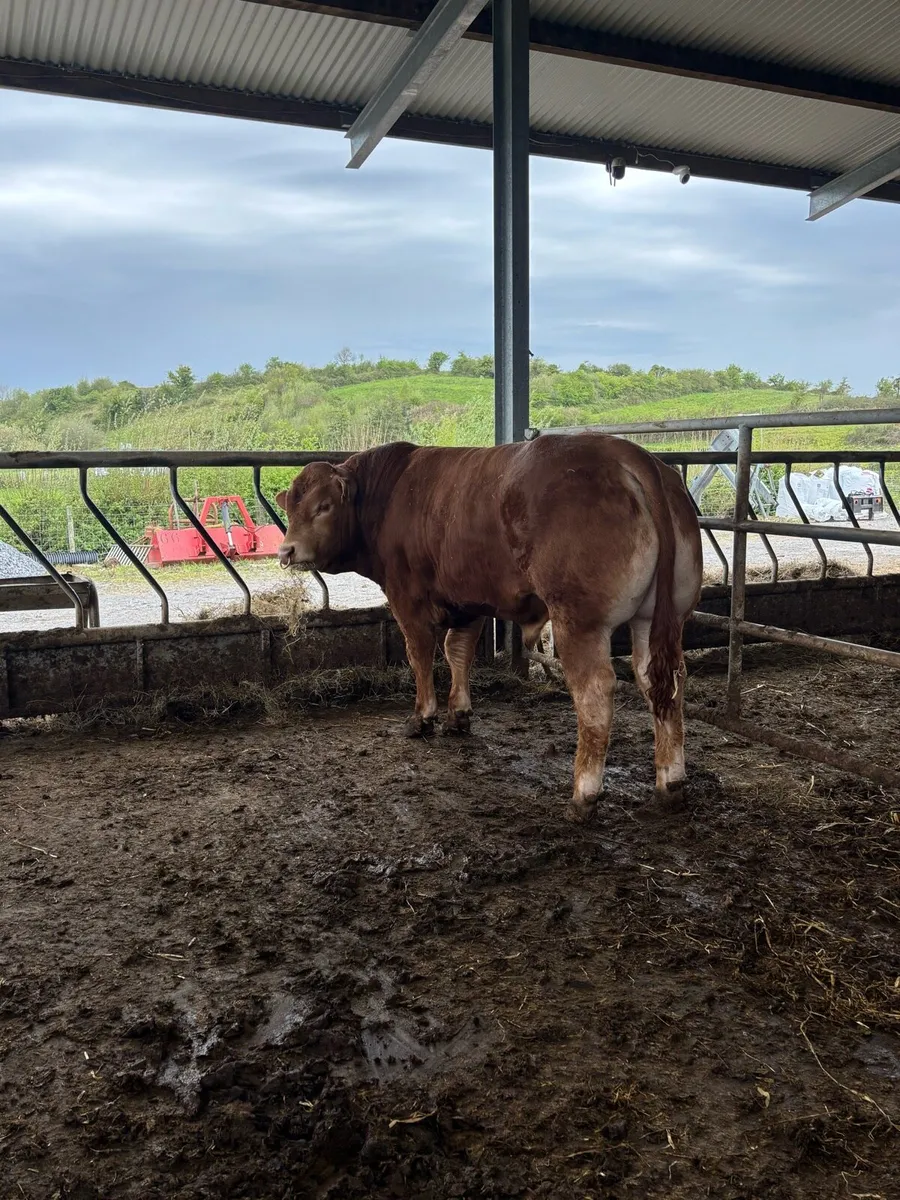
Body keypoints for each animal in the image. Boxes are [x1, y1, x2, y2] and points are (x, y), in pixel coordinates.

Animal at [276, 435, 702, 822]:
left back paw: (584, 795)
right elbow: (458, 651)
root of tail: (628, 454)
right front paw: (458, 714)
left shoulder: (407, 600)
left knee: (595, 692)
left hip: (580, 622)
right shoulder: (469, 602)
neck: (391, 493)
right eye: (292, 507)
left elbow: (420, 655)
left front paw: (422, 717)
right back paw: (671, 782)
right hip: (658, 617)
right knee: (663, 682)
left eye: (324, 506)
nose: (286, 551)